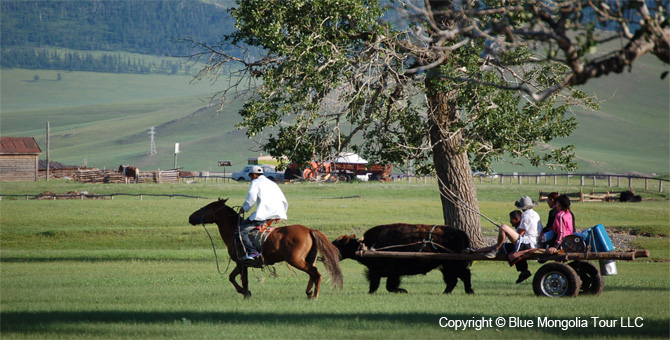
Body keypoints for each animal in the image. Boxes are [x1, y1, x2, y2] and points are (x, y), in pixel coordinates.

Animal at [190, 198, 344, 298]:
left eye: (208, 207)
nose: (191, 217)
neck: (234, 230)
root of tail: (309, 230)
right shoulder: (241, 263)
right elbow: (231, 277)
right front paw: (245, 292)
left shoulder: (241, 262)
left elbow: (243, 280)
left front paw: (246, 295)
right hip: (309, 258)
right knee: (312, 273)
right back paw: (309, 292)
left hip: (296, 260)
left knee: (315, 273)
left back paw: (314, 296)